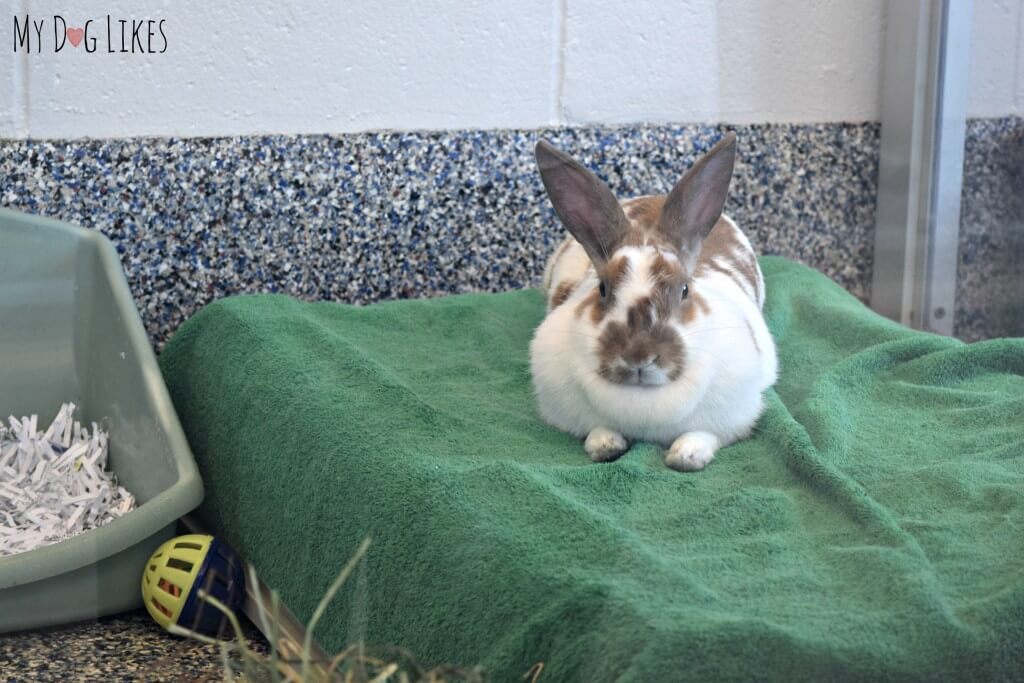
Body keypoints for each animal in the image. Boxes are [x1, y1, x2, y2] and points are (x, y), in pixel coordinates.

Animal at [528, 135, 774, 475]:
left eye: (684, 289)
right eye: (602, 288)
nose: (639, 356)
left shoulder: (734, 418)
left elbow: (703, 434)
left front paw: (686, 455)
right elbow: (595, 430)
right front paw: (605, 445)